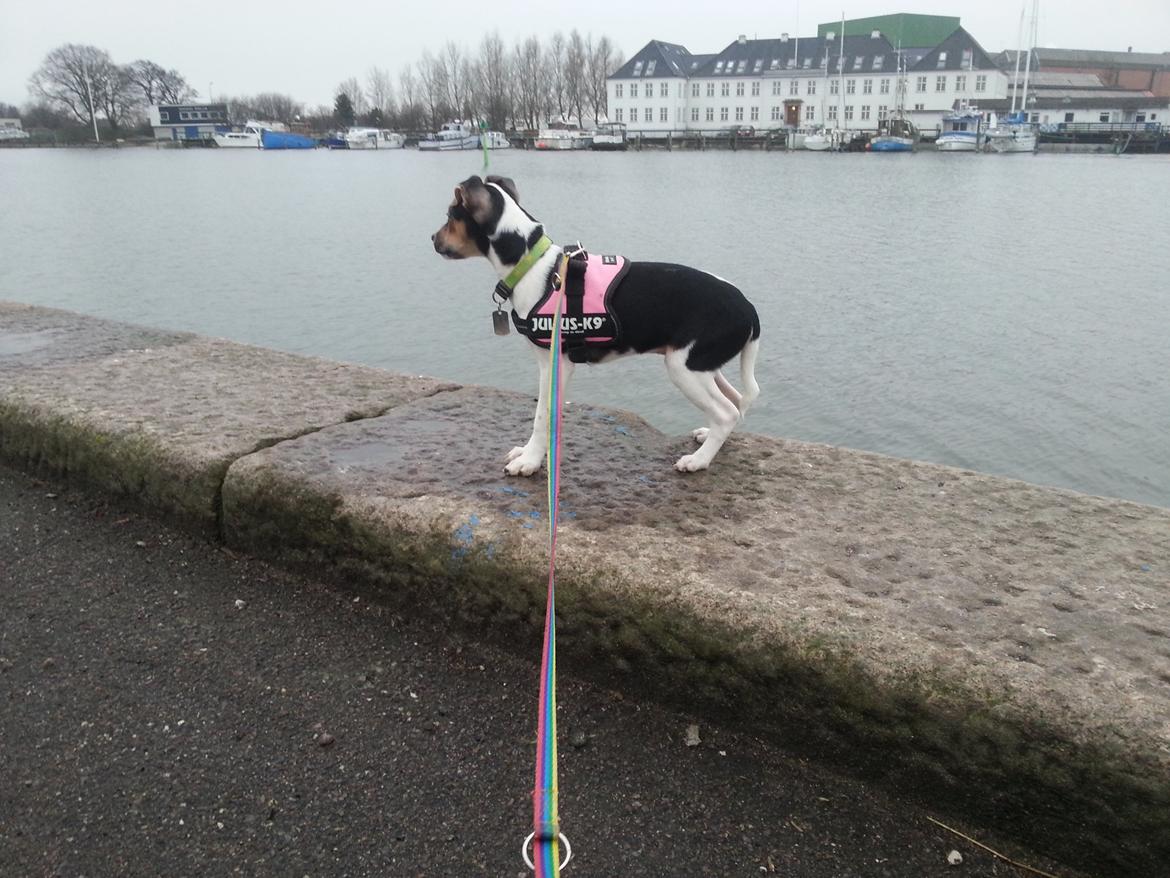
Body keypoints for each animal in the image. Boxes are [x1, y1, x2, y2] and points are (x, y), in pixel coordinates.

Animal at [435, 176, 762, 477]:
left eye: (451, 215)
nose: (432, 238)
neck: (532, 266)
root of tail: (749, 308)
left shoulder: (555, 365)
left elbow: (542, 415)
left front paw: (530, 461)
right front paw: (528, 453)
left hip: (685, 368)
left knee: (726, 413)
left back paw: (698, 460)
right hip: (702, 364)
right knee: (736, 403)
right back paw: (709, 439)